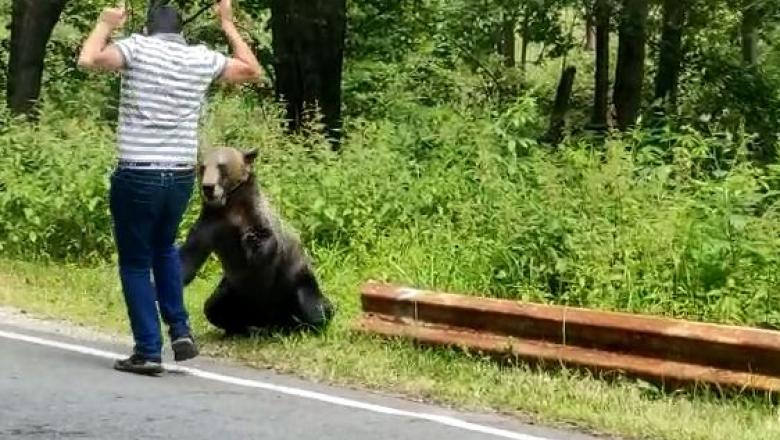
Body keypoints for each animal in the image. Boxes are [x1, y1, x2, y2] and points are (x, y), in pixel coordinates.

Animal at [180, 146, 336, 336]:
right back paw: (241, 328)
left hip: (296, 285)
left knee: (314, 307)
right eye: (202, 167)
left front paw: (251, 241)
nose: (208, 187)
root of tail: (269, 320)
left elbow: (266, 245)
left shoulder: (256, 218)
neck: (229, 208)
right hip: (235, 294)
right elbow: (189, 257)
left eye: (222, 166)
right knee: (213, 307)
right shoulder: (210, 225)